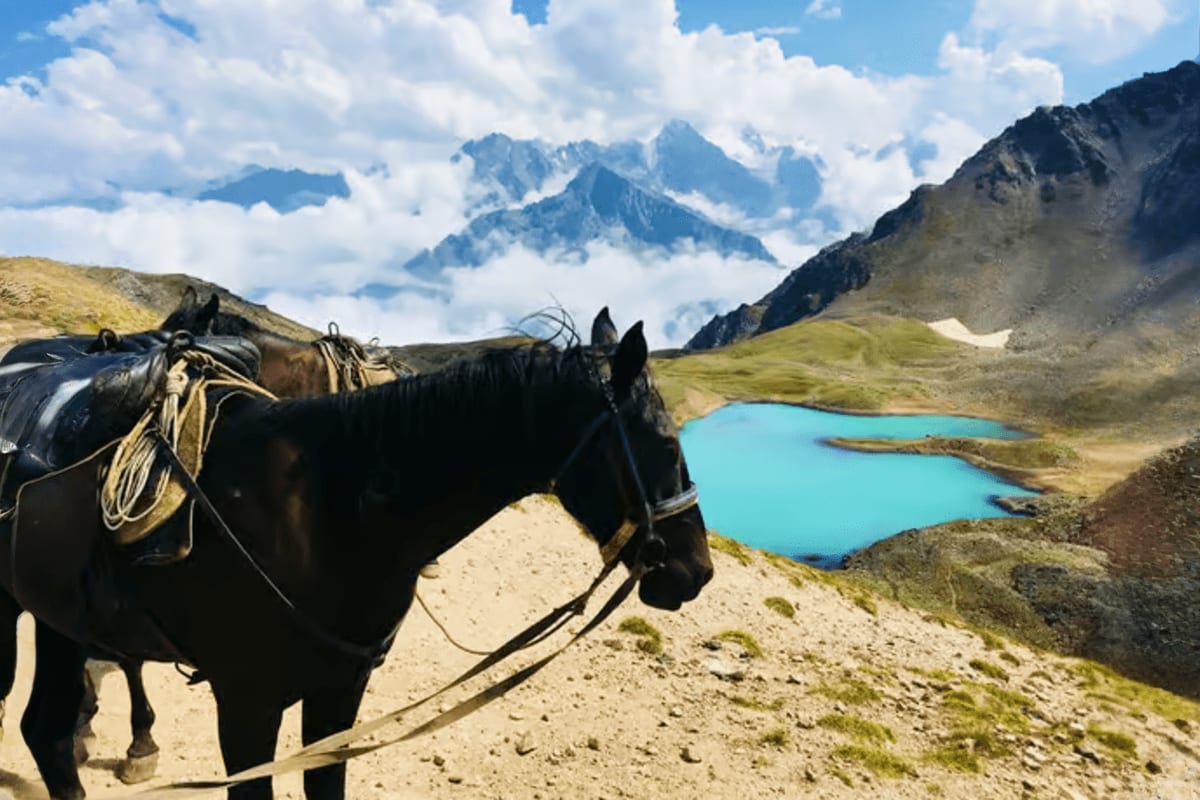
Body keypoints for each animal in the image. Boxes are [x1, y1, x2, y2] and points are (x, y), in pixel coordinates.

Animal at [0, 308, 713, 800]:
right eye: (665, 444)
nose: (696, 571)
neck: (324, 511)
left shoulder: (340, 695)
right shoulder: (246, 705)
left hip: (61, 620)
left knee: (46, 733)